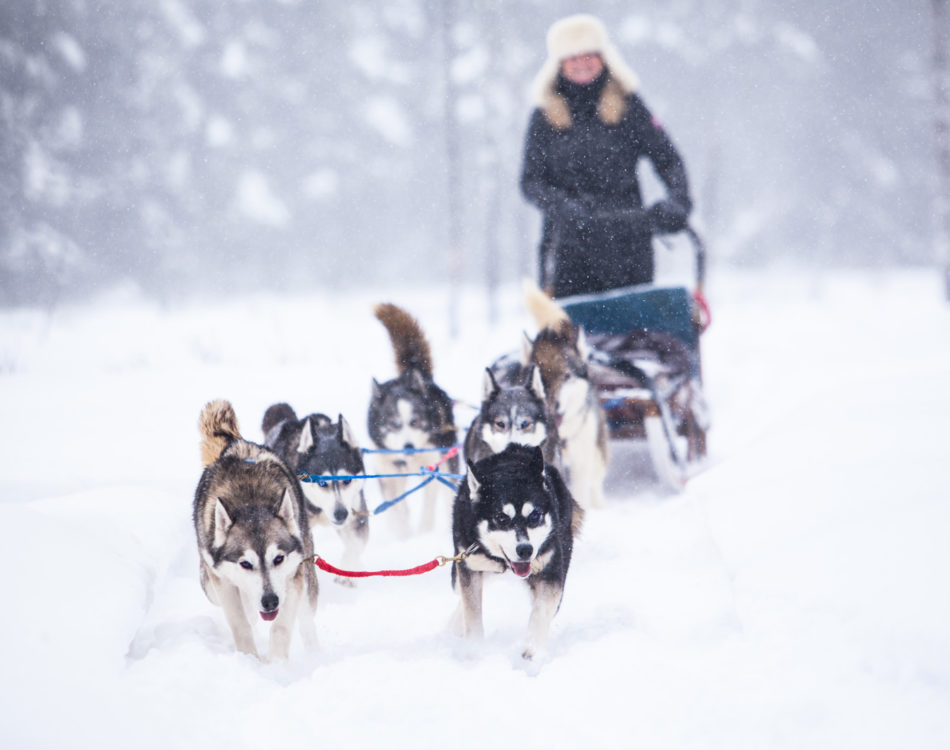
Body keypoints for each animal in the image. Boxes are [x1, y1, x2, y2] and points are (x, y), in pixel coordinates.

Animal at [193, 402, 320, 660]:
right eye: (245, 563)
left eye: (278, 558)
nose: (270, 601)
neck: (250, 502)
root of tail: (236, 442)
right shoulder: (221, 581)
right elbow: (240, 623)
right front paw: (249, 659)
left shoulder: (294, 575)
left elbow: (281, 627)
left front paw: (277, 664)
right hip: (209, 584)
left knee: (305, 618)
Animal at [262, 402, 370, 584]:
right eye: (322, 483)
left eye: (347, 480)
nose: (341, 513)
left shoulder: (356, 514)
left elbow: (356, 544)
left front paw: (348, 571)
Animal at [368, 302, 458, 536]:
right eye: (393, 424)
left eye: (415, 421)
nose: (408, 447)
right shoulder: (386, 471)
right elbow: (395, 506)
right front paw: (401, 531)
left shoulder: (433, 467)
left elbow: (429, 502)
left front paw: (423, 529)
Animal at [452, 444, 584, 660]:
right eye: (501, 518)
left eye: (535, 515)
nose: (525, 550)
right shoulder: (469, 566)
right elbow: (471, 610)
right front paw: (474, 650)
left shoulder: (551, 570)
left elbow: (542, 609)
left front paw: (533, 648)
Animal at [524, 282, 612, 512]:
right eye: (539, 377)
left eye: (566, 376)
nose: (552, 405)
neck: (561, 436)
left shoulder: (582, 464)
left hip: (597, 459)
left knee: (595, 486)